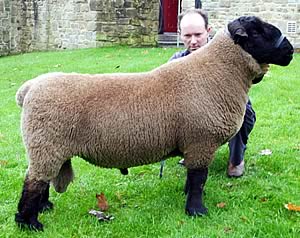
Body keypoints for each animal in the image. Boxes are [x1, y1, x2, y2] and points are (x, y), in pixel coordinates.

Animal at [14, 15, 292, 231]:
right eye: (259, 31)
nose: (290, 50)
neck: (217, 71)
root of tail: (28, 89)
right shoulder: (201, 142)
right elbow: (199, 179)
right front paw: (196, 211)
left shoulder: (194, 146)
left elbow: (193, 179)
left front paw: (187, 197)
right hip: (45, 145)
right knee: (33, 184)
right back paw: (30, 223)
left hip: (49, 149)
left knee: (41, 181)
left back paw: (45, 207)